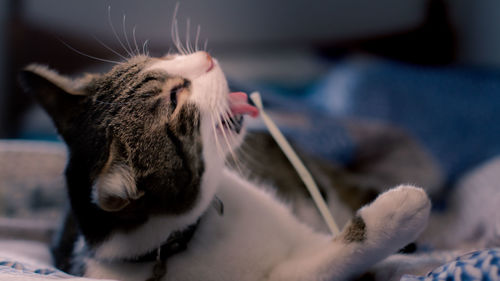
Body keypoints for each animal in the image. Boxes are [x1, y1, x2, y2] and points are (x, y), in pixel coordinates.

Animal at [19, 50, 432, 280]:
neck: (185, 238)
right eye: (175, 96)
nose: (207, 57)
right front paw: (399, 211)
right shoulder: (290, 270)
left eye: (156, 59)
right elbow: (332, 257)